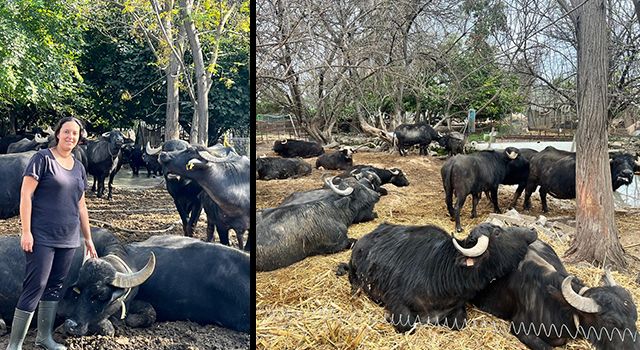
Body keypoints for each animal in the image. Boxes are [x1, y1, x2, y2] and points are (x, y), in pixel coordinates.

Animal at [342, 223, 536, 332]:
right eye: (497, 232)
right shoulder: (395, 300)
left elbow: (458, 323)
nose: (532, 230)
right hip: (354, 271)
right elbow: (406, 324)